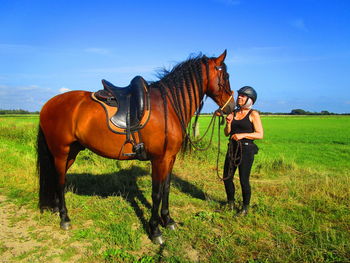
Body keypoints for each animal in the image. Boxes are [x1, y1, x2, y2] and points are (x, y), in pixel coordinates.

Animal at [36, 50, 235, 245]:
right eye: (226, 76)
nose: (232, 107)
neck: (169, 105)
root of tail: (47, 105)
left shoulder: (170, 158)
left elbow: (167, 188)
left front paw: (168, 220)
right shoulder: (159, 159)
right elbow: (156, 193)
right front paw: (155, 230)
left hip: (71, 152)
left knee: (57, 177)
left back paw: (56, 208)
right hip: (61, 152)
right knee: (60, 181)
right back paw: (65, 218)